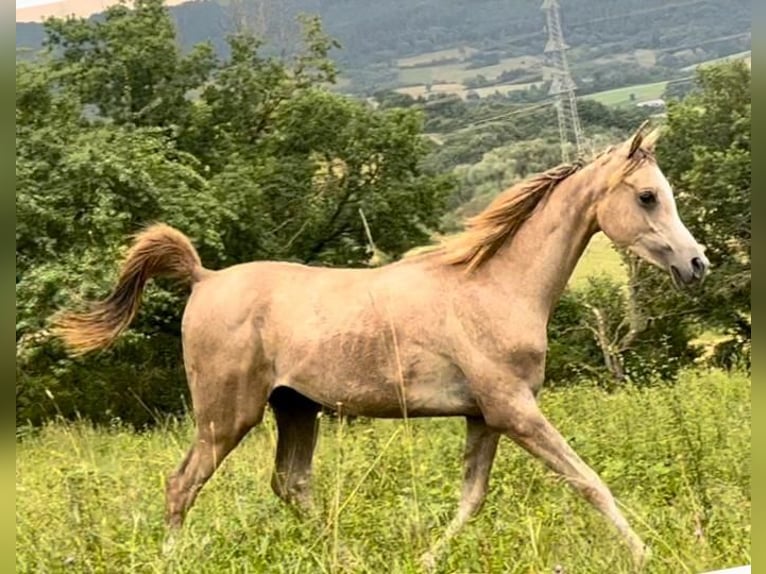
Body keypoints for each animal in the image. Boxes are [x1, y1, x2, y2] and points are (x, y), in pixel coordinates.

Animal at [52, 124, 712, 568]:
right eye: (648, 196)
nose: (697, 264)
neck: (495, 285)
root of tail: (204, 278)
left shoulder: (485, 416)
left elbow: (471, 497)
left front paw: (427, 558)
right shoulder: (515, 411)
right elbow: (588, 479)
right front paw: (647, 551)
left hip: (296, 408)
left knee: (291, 485)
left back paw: (342, 555)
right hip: (226, 414)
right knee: (182, 483)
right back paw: (175, 556)